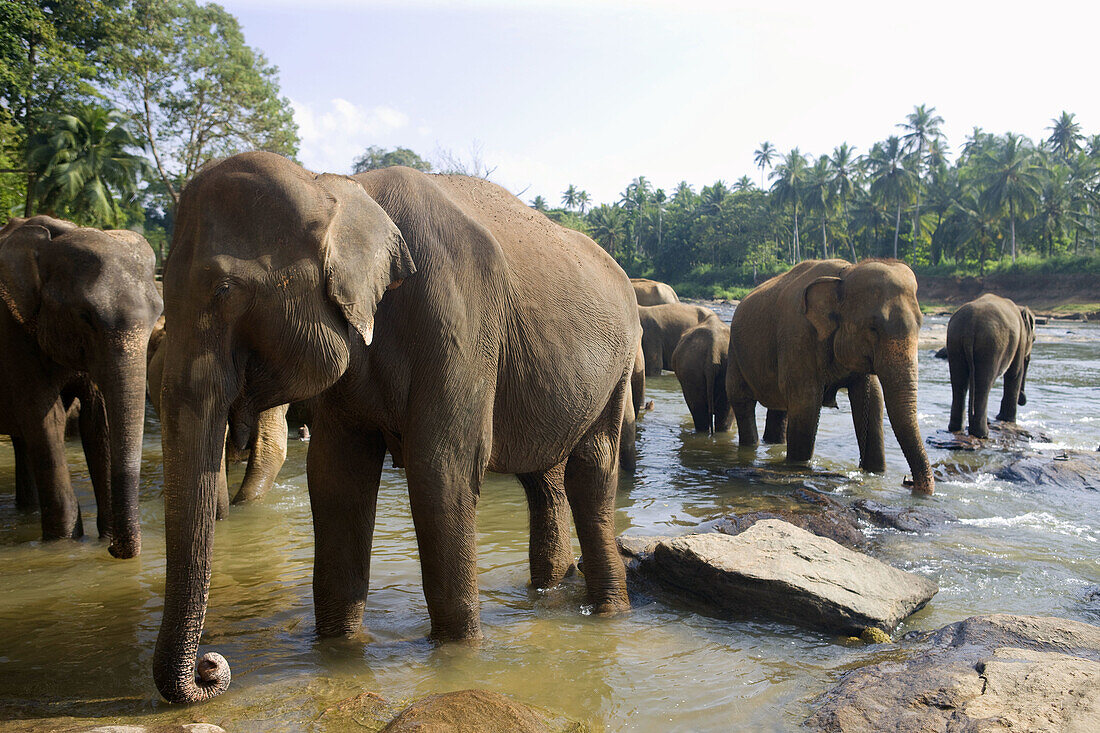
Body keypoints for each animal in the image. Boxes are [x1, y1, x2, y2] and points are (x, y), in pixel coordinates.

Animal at [0, 215, 160, 554]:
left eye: (158, 316)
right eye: (85, 316)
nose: (115, 551)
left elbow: (98, 419)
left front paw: (104, 539)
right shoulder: (12, 335)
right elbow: (47, 420)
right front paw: (62, 545)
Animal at [154, 154, 638, 704]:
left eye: (224, 290)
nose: (211, 666)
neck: (339, 188)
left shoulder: (459, 316)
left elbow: (441, 472)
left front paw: (457, 657)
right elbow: (337, 479)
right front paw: (338, 649)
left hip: (618, 367)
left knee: (590, 472)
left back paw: (607, 612)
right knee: (544, 476)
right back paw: (549, 591)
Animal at [726, 259, 932, 493]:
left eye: (920, 325)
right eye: (872, 328)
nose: (909, 481)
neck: (845, 274)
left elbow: (873, 401)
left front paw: (876, 474)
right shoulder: (798, 336)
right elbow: (806, 403)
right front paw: (798, 468)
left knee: (781, 407)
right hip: (735, 353)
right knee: (742, 402)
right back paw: (751, 448)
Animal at [941, 292, 1034, 440]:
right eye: (1034, 339)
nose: (1023, 400)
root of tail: (970, 326)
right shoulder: (1020, 340)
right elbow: (1015, 373)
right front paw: (1007, 420)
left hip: (954, 340)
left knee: (959, 382)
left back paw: (956, 429)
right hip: (991, 345)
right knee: (984, 383)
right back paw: (983, 434)